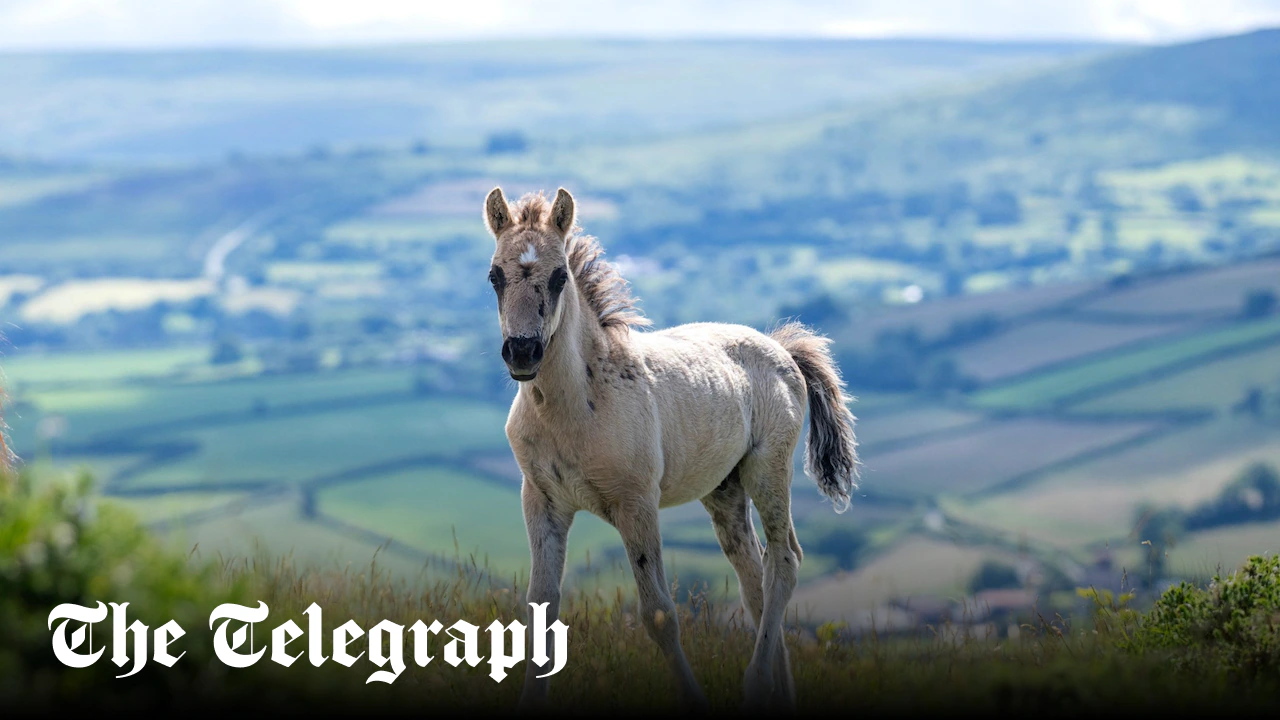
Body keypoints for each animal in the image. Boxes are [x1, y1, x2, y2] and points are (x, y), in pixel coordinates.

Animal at [482, 187, 859, 711]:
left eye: (559, 277)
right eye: (494, 276)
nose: (522, 352)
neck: (575, 407)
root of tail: (783, 348)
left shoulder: (637, 503)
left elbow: (659, 615)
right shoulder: (541, 501)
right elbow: (540, 612)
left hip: (768, 470)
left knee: (784, 562)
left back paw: (757, 681)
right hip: (724, 491)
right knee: (755, 583)